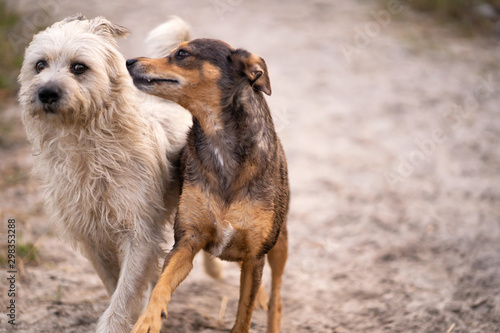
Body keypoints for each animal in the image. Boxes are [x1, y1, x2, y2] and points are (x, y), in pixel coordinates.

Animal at [18, 14, 193, 330]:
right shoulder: (93, 239)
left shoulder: (139, 235)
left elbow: (124, 294)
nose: (46, 92)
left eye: (79, 67)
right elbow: (117, 288)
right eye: (39, 65)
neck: (85, 144)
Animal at [126, 39, 290, 332]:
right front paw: (148, 320)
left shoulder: (256, 255)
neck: (220, 146)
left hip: (280, 243)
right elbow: (160, 287)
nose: (129, 61)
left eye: (182, 53)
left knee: (277, 298)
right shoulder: (187, 242)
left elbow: (244, 315)